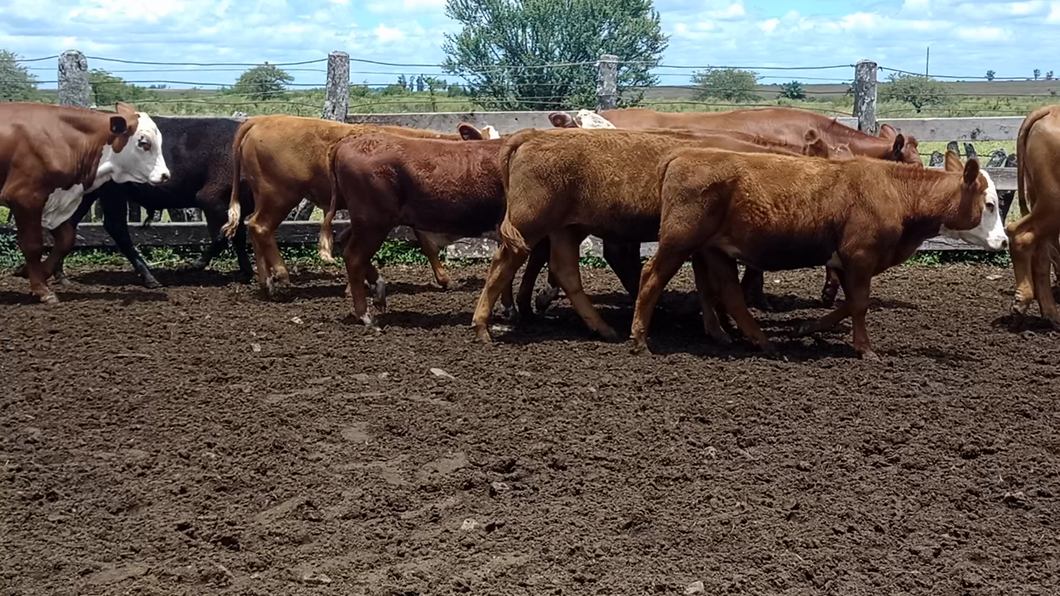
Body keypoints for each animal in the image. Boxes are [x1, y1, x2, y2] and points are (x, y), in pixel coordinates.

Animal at [0, 102, 169, 303]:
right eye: (144, 143)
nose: (165, 175)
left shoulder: (58, 203)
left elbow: (66, 239)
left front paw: (30, 271)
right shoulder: (24, 199)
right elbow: (32, 245)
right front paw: (42, 290)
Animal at [44, 116, 254, 288]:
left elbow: (239, 236)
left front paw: (248, 273)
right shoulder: (212, 199)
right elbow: (221, 237)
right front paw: (190, 266)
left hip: (89, 191)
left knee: (69, 223)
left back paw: (61, 276)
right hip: (112, 190)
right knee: (116, 227)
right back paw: (149, 277)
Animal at [220, 115, 485, 298]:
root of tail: (259, 120)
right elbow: (426, 244)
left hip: (264, 196)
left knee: (253, 228)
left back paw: (266, 282)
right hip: (280, 195)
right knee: (261, 227)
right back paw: (282, 278)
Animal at [471, 127, 848, 343]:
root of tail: (531, 136)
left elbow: (706, 282)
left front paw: (718, 326)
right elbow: (711, 284)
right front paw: (720, 326)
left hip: (567, 228)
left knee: (565, 271)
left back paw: (603, 328)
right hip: (530, 222)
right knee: (502, 263)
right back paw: (483, 326)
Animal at [628, 149, 990, 360]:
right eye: (989, 204)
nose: (1000, 240)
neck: (893, 191)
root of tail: (681, 157)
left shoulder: (848, 261)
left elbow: (849, 303)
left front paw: (808, 327)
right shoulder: (860, 255)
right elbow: (860, 303)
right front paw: (865, 349)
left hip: (716, 249)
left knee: (730, 294)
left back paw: (761, 341)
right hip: (678, 241)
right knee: (651, 278)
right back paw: (640, 341)